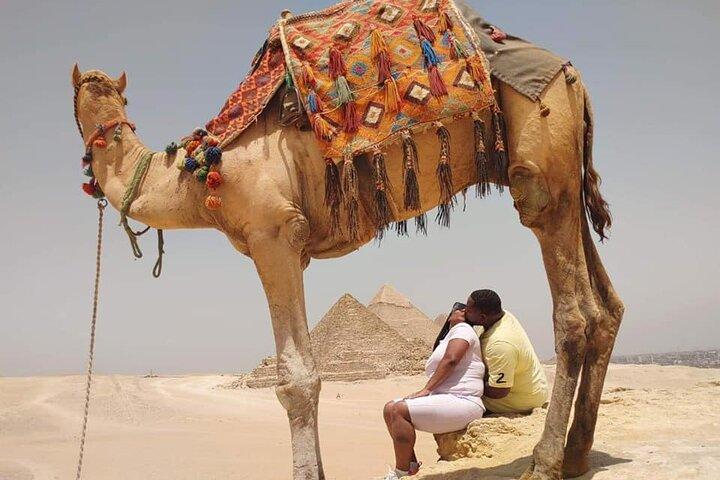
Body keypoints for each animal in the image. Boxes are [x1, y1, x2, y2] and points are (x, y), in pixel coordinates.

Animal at [71, 21, 624, 477]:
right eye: (82, 100)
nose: (100, 133)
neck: (205, 169)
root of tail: (573, 78)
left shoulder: (274, 234)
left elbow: (296, 378)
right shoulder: (289, 245)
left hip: (540, 163)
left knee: (574, 312)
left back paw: (546, 462)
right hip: (567, 181)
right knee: (607, 307)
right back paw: (578, 455)